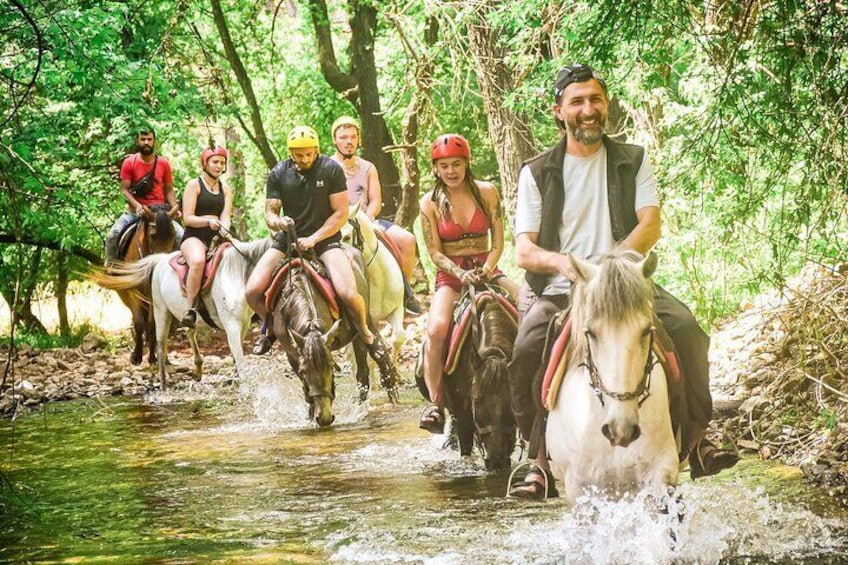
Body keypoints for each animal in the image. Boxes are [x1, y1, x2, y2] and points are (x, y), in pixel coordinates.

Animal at [90, 238, 270, 388]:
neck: (236, 275)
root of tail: (160, 259)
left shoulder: (244, 325)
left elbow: (236, 359)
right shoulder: (232, 326)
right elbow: (240, 361)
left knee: (189, 332)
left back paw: (197, 368)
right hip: (161, 311)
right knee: (161, 348)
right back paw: (163, 385)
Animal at [115, 205, 178, 364]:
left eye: (173, 235)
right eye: (153, 236)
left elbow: (152, 324)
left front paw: (154, 357)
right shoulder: (133, 291)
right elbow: (138, 322)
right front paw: (136, 356)